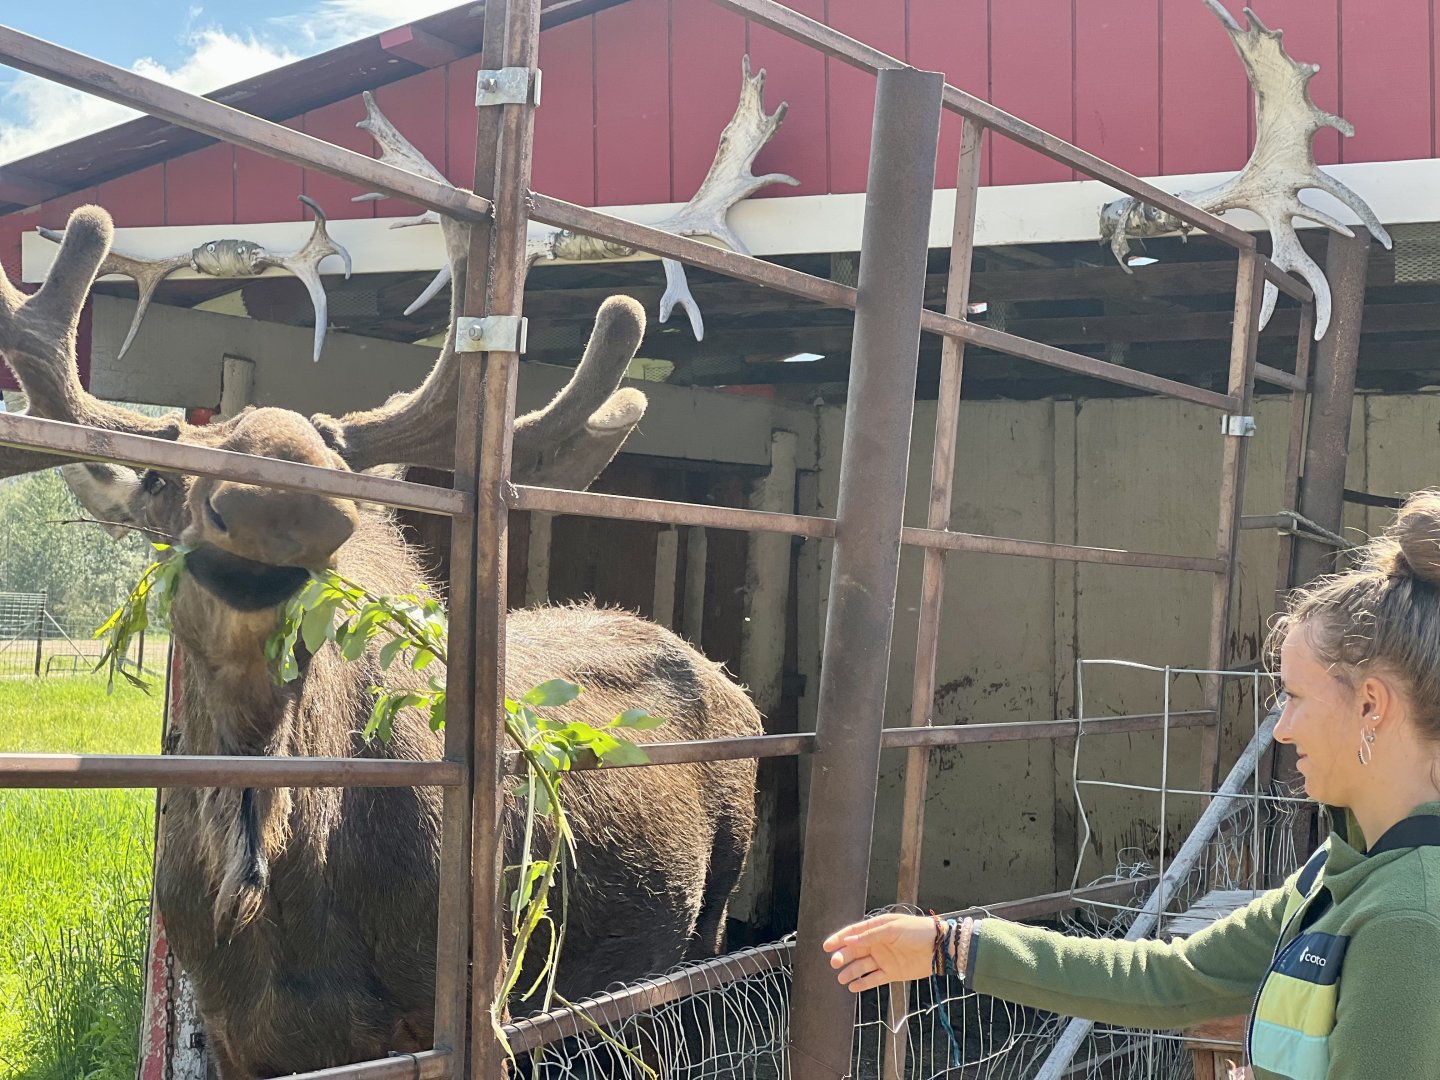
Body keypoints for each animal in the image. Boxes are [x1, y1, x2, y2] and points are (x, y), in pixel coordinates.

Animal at [0, 205, 763, 1078]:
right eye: (161, 477)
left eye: (341, 469)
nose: (275, 496)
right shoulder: (234, 1034)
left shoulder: (467, 1004)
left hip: (707, 919)